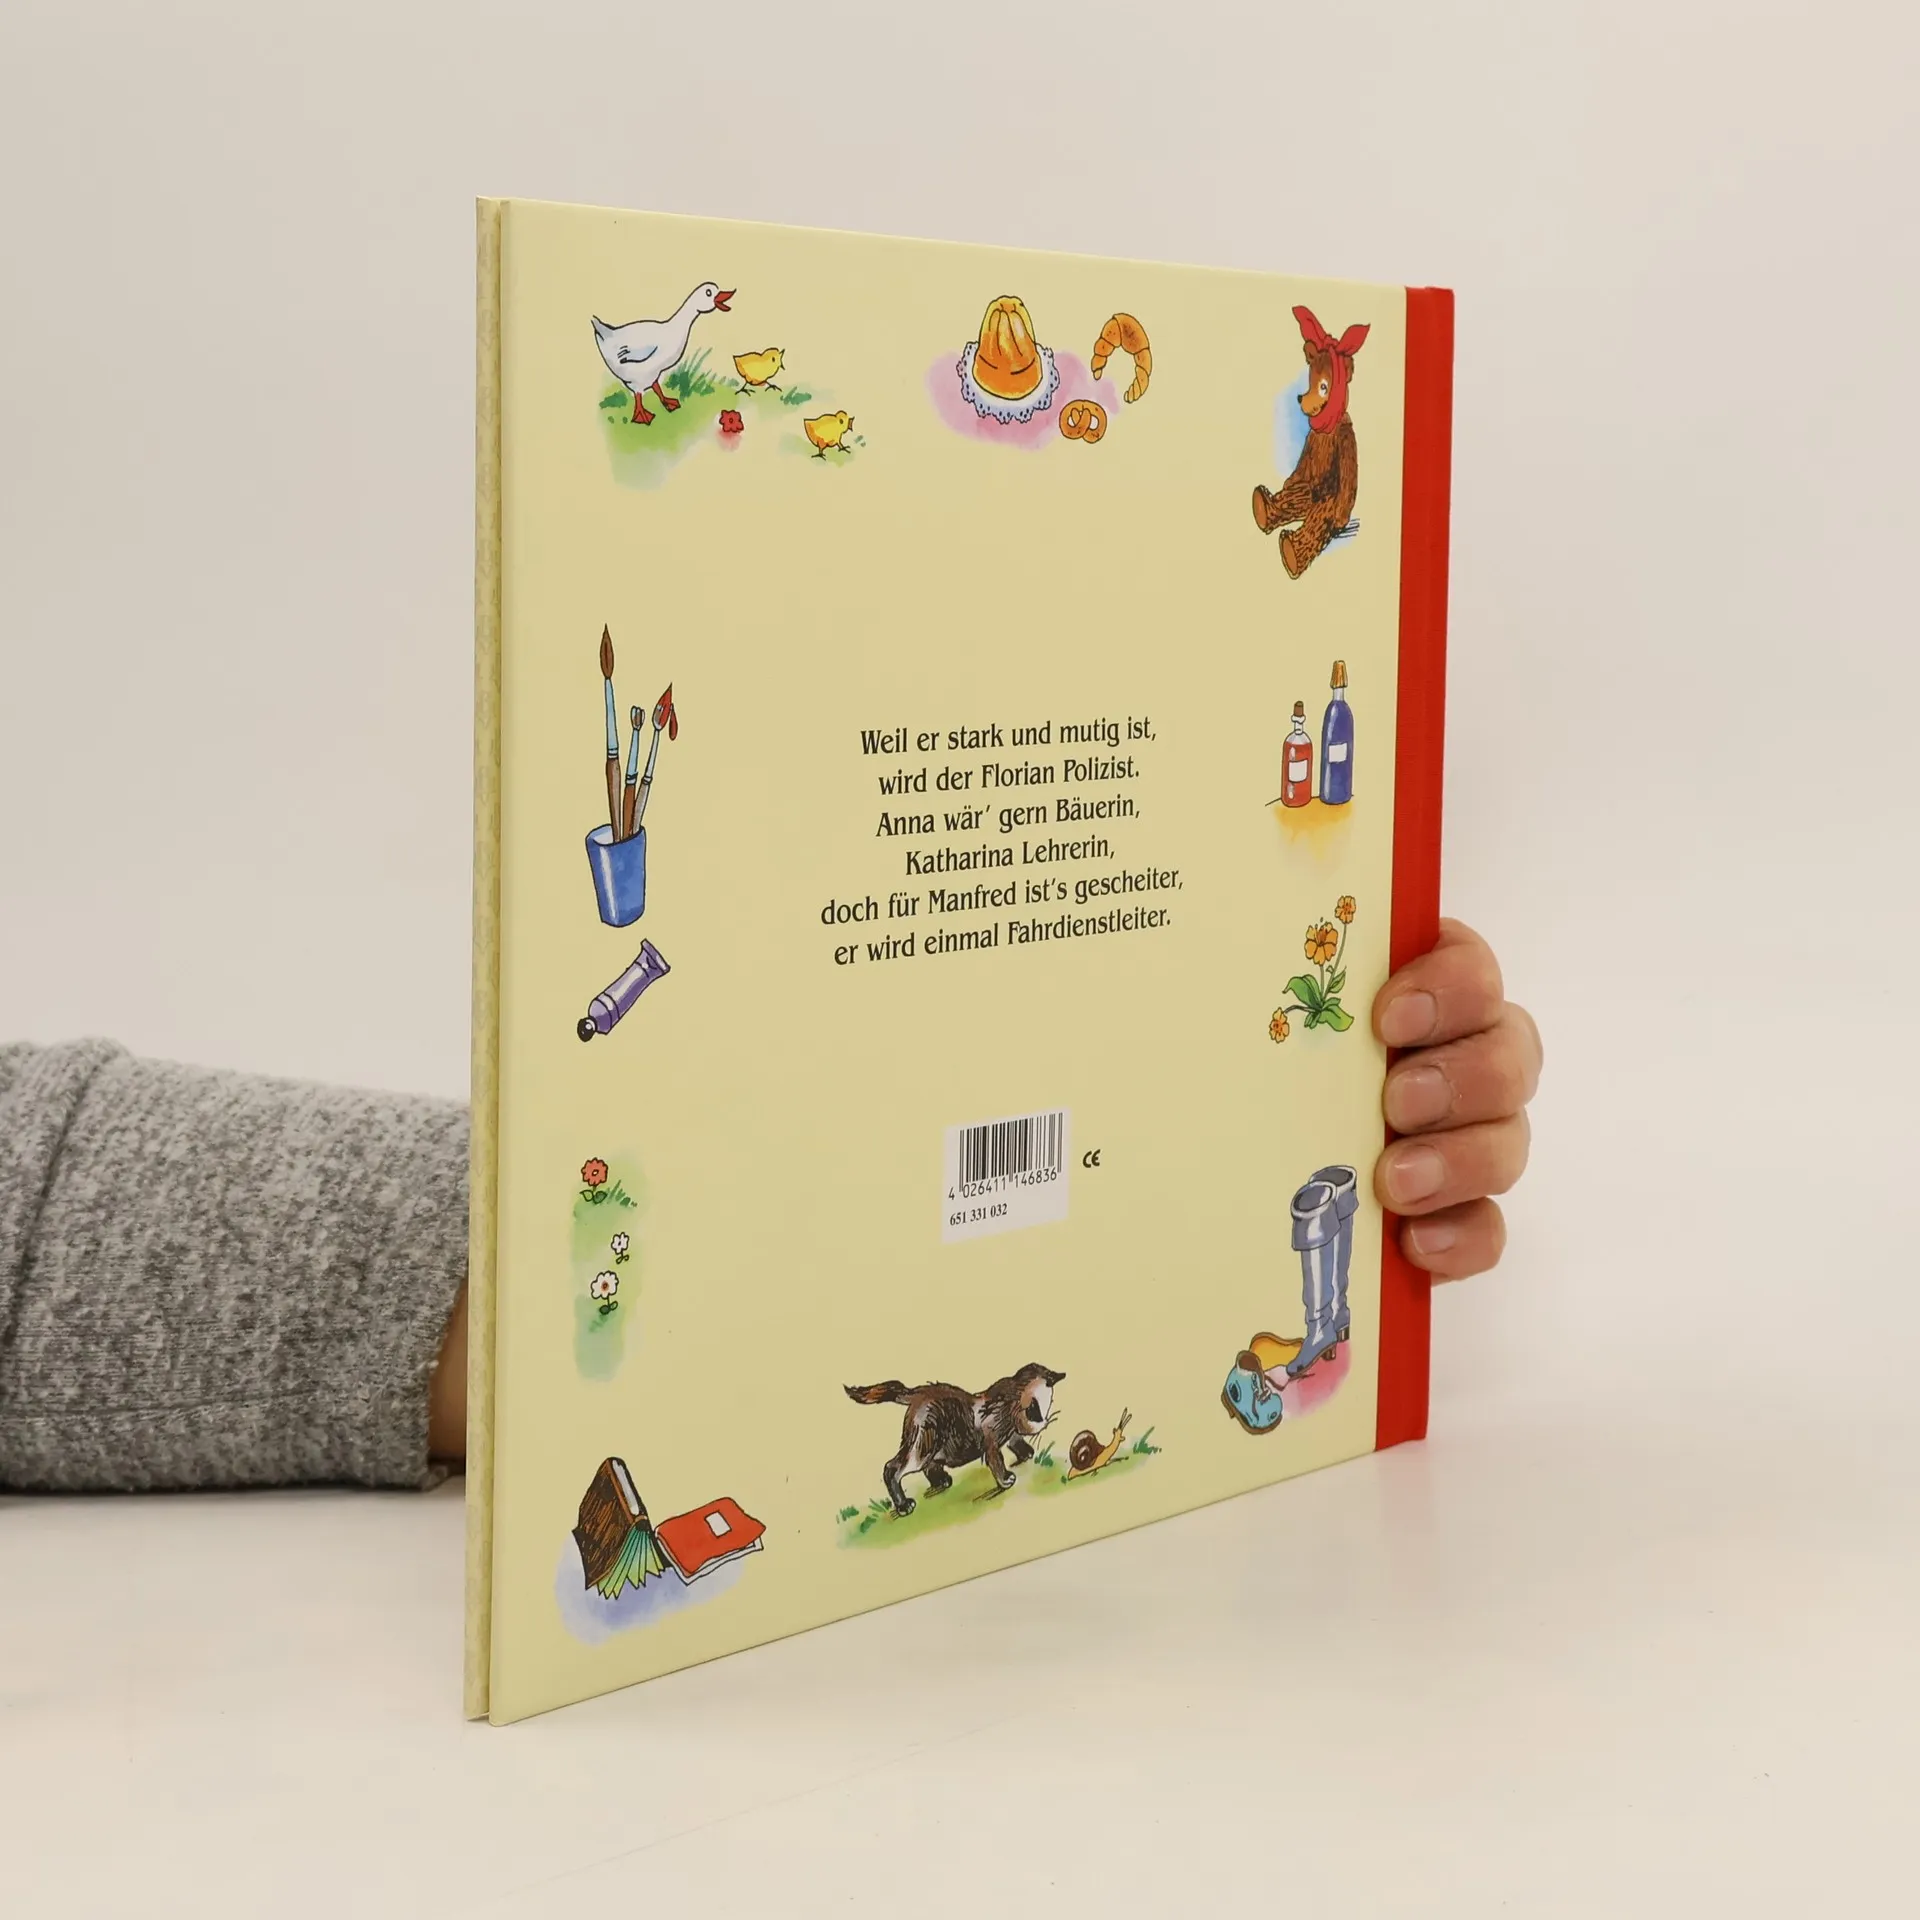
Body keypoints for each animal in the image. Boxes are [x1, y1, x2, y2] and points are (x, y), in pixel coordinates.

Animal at [844, 1364, 1065, 1515]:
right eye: (1033, 1410)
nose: (1043, 1423)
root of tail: (916, 1393)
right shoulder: (991, 1440)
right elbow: (997, 1461)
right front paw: (1006, 1480)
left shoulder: (1011, 1434)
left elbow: (1016, 1442)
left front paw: (1027, 1453)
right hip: (921, 1445)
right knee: (892, 1468)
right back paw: (904, 1505)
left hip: (933, 1445)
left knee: (930, 1466)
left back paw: (942, 1481)